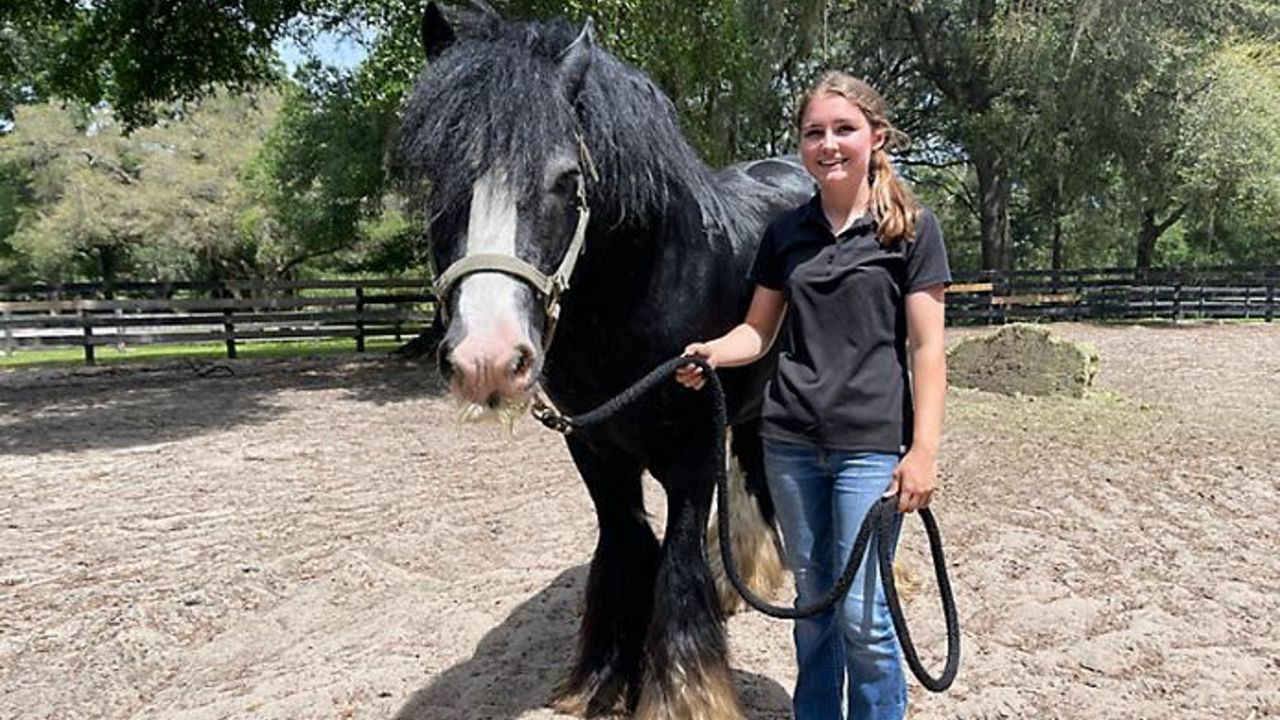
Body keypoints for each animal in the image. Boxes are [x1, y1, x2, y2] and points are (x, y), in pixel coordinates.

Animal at [395, 4, 813, 718]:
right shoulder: (593, 446)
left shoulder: (691, 452)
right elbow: (624, 549)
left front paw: (684, 696)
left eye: (567, 180)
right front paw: (605, 679)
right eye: (437, 179)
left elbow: (674, 565)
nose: (487, 359)